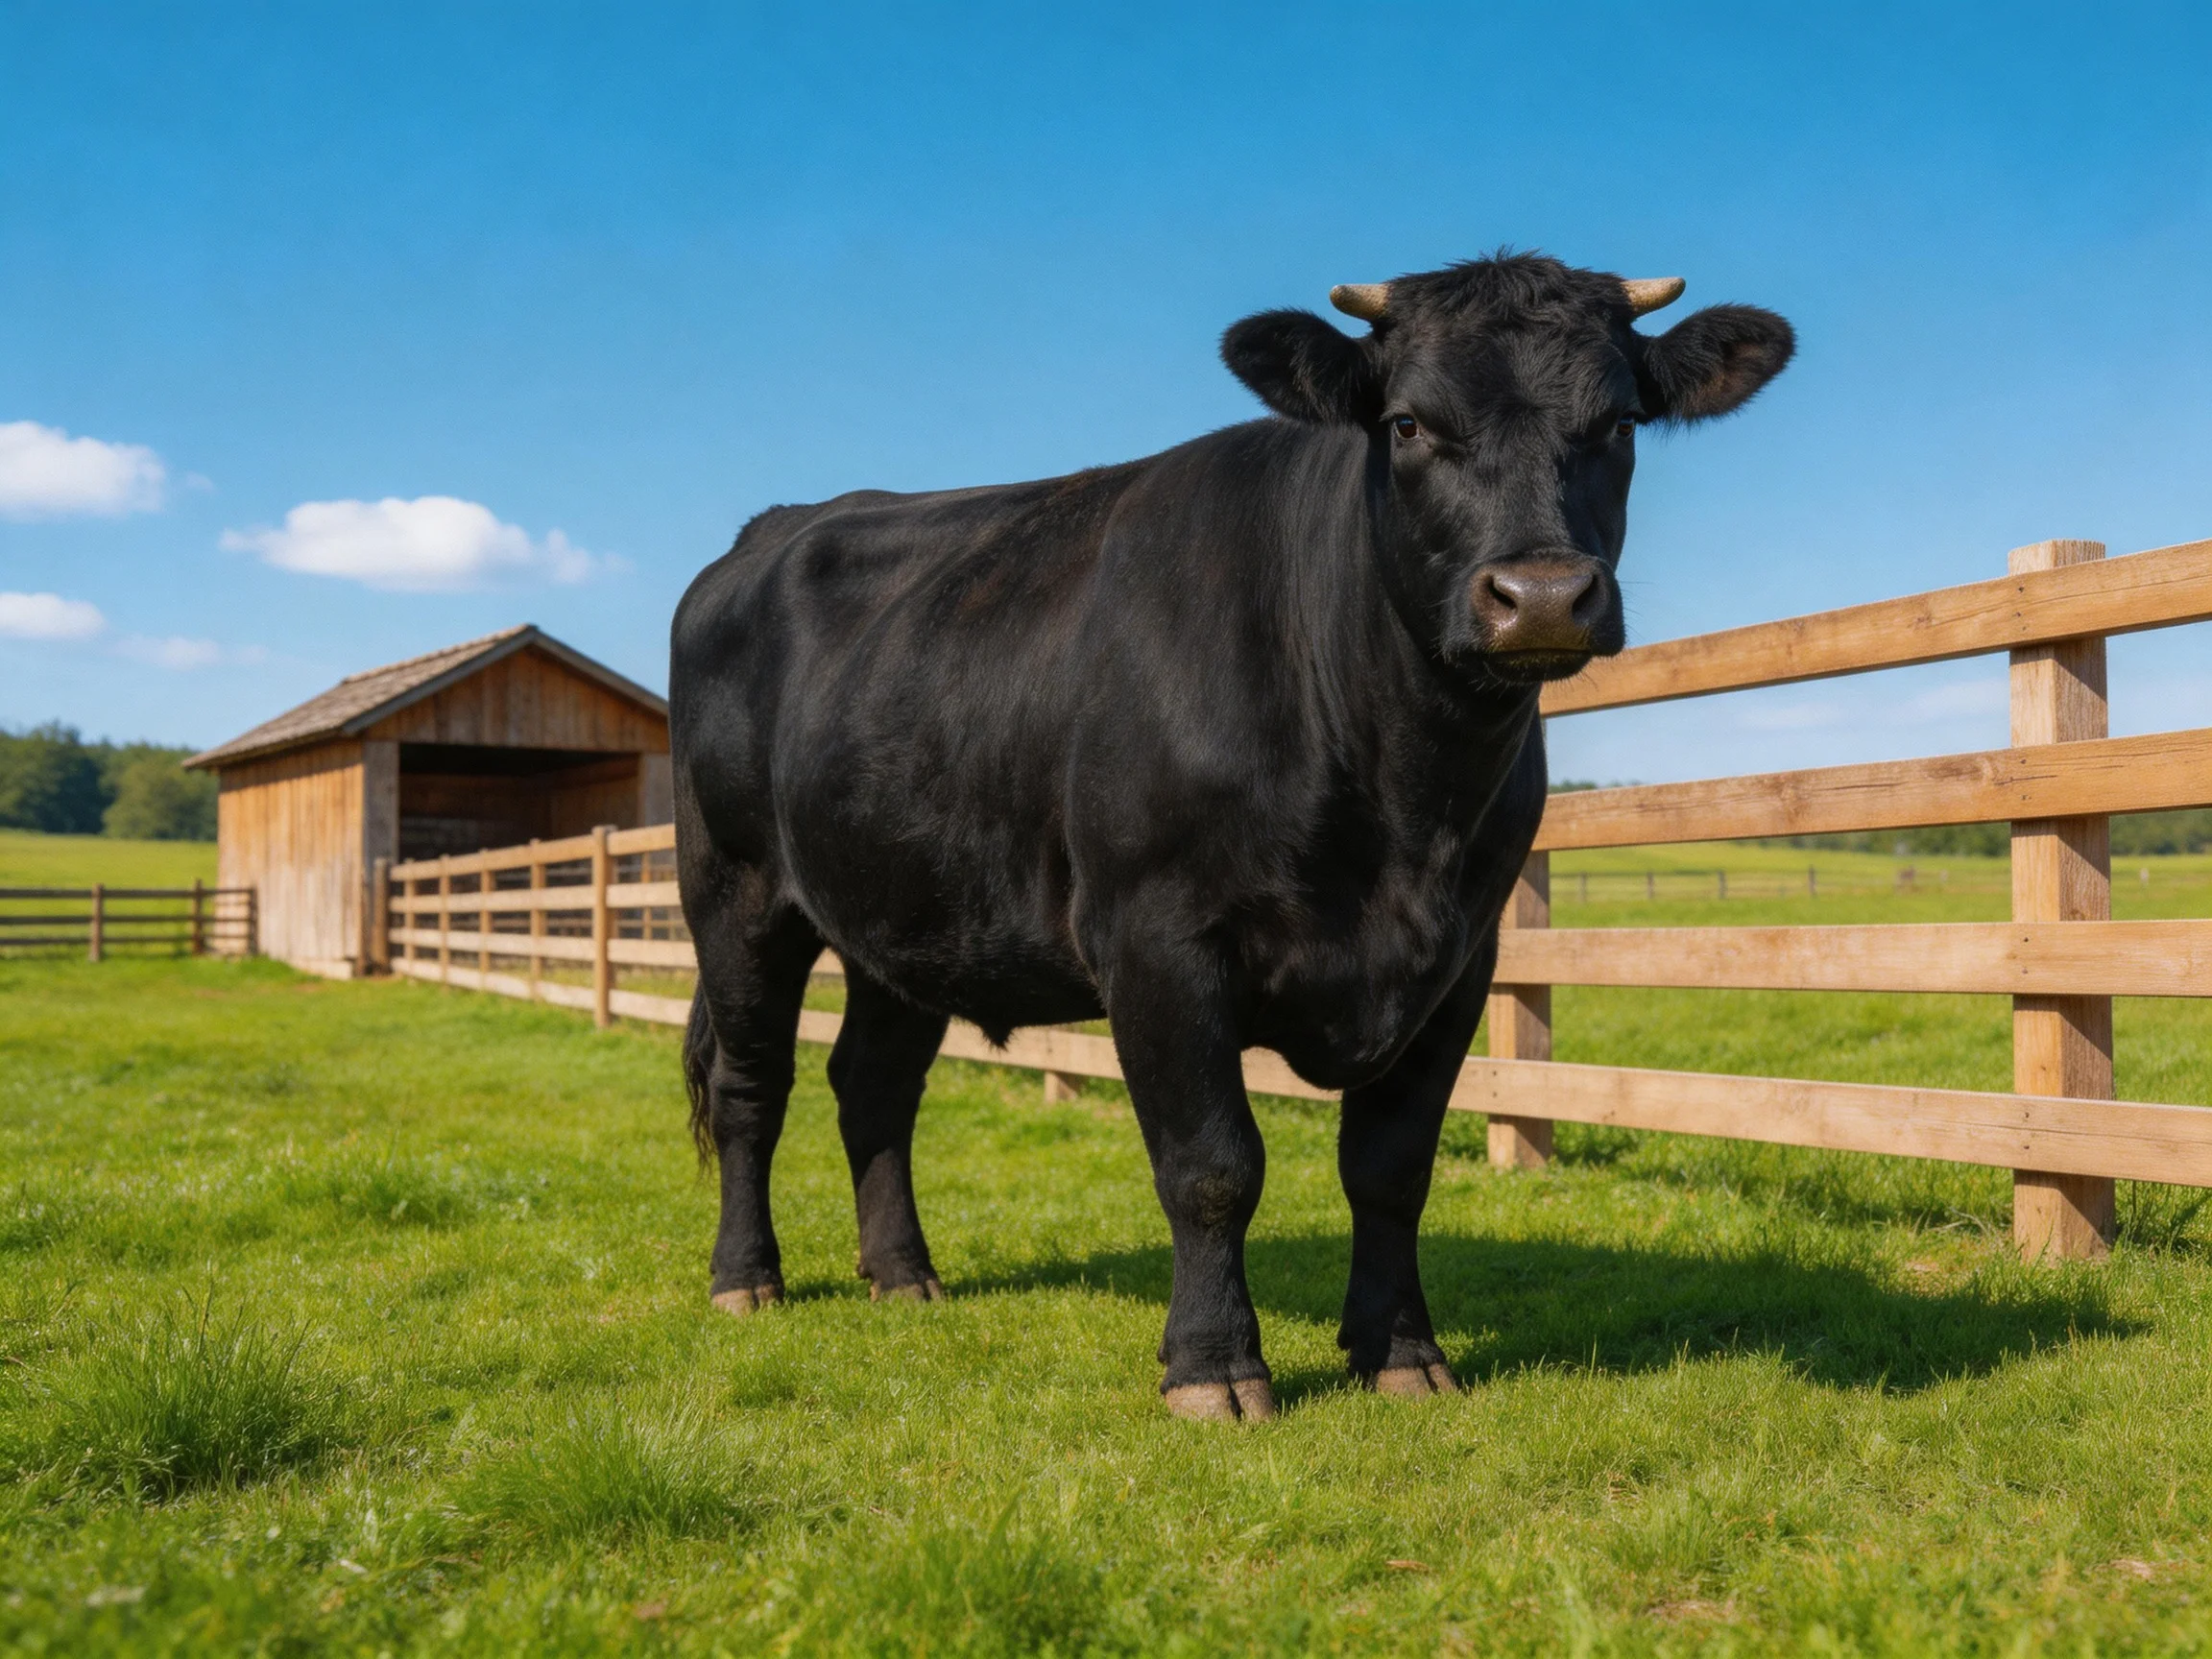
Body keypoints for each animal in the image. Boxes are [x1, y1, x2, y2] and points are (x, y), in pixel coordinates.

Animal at [672, 253, 1793, 1421]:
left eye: (1619, 421)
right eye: (1406, 422)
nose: (1538, 597)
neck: (1402, 807)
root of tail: (774, 528)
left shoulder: (1460, 959)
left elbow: (1392, 1167)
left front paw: (1401, 1349)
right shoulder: (1158, 941)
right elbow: (1213, 1166)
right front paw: (1214, 1366)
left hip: (907, 913)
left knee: (874, 1086)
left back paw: (903, 1275)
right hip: (736, 892)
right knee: (752, 1085)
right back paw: (746, 1279)